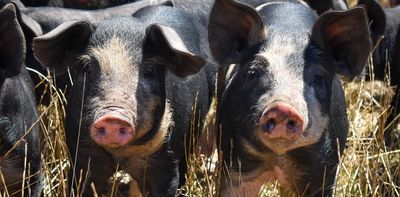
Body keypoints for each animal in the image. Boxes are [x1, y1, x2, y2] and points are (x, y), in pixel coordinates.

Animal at [33, 3, 216, 196]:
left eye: (149, 70)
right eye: (86, 67)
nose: (112, 117)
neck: (121, 154)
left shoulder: (165, 162)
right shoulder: (82, 154)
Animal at [209, 0, 372, 195]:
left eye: (318, 78)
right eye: (253, 73)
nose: (283, 108)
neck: (278, 160)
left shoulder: (325, 171)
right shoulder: (235, 165)